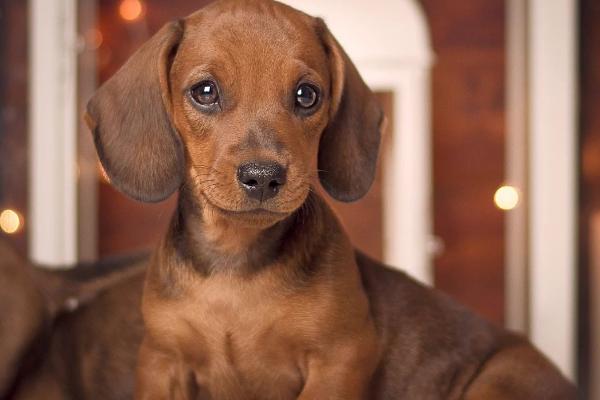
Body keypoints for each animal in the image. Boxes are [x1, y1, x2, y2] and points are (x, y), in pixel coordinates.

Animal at [83, 0, 572, 400]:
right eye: (205, 91)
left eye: (306, 94)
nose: (263, 177)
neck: (236, 267)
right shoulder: (160, 361)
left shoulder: (340, 358)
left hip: (502, 378)